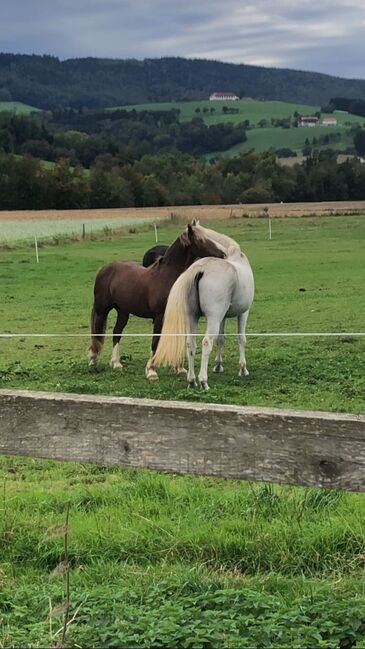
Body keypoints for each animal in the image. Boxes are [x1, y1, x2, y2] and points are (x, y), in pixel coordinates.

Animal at [88, 223, 225, 380]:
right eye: (201, 239)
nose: (223, 254)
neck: (167, 276)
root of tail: (104, 269)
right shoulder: (159, 316)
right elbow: (155, 342)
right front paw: (151, 371)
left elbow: (178, 340)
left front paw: (179, 368)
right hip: (101, 310)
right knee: (97, 332)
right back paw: (93, 361)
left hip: (123, 311)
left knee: (117, 332)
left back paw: (116, 363)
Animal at [151, 242, 253, 388]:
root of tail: (200, 269)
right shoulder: (243, 313)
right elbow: (241, 339)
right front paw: (243, 369)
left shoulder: (223, 317)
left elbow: (220, 339)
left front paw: (218, 365)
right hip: (213, 319)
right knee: (206, 343)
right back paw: (203, 381)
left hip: (193, 317)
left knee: (190, 344)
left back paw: (192, 380)